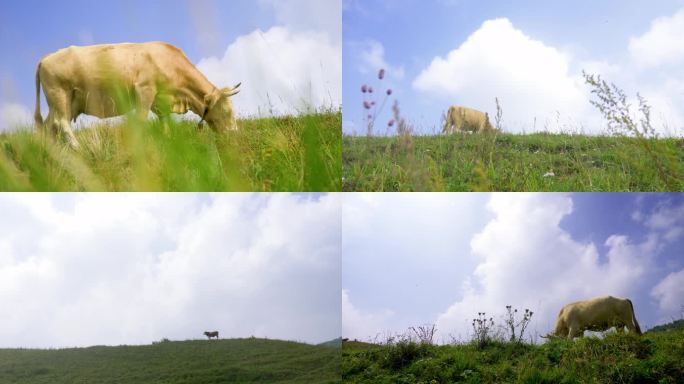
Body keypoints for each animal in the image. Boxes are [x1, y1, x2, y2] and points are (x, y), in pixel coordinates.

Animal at [36, 41, 243, 148]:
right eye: (227, 111)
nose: (235, 134)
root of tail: (45, 58)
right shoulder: (145, 90)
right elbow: (141, 121)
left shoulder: (161, 101)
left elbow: (165, 123)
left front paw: (168, 140)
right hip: (59, 93)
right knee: (61, 123)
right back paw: (77, 148)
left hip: (63, 102)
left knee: (49, 125)